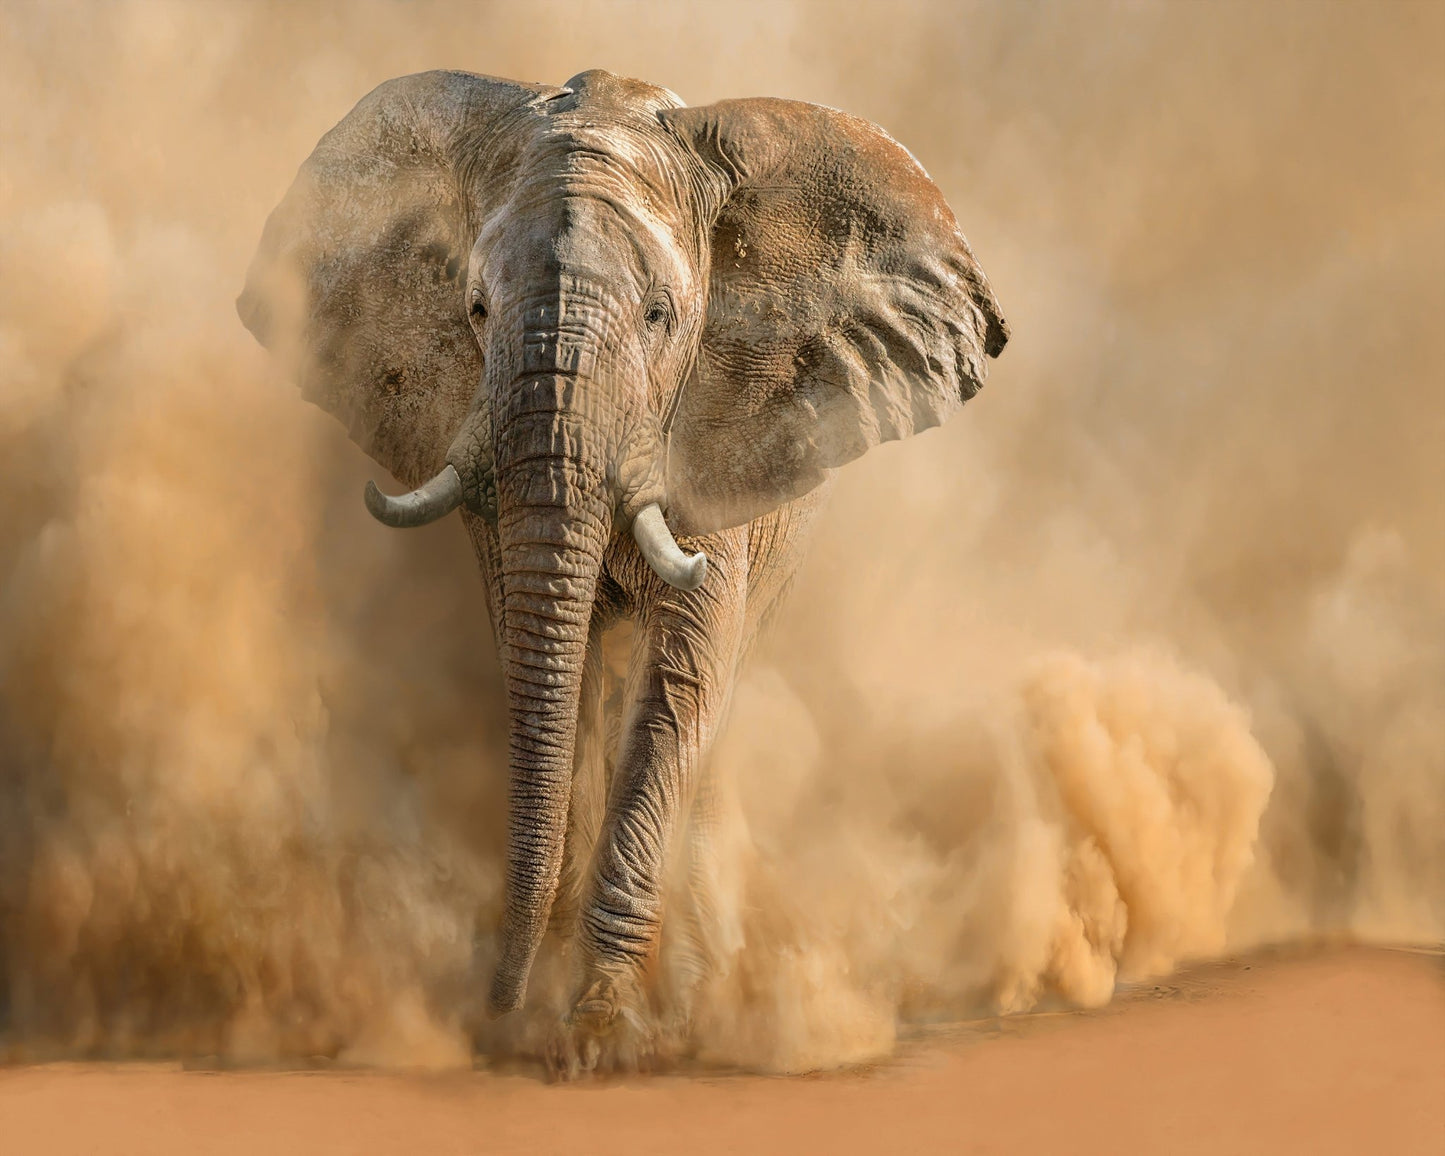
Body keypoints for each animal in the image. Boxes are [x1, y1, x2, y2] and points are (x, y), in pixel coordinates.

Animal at [237, 68, 1008, 1074]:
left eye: (658, 317)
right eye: (475, 310)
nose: (491, 1008)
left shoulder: (714, 433)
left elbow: (678, 686)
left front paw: (596, 1037)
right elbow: (553, 672)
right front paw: (550, 1020)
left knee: (713, 702)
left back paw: (695, 995)